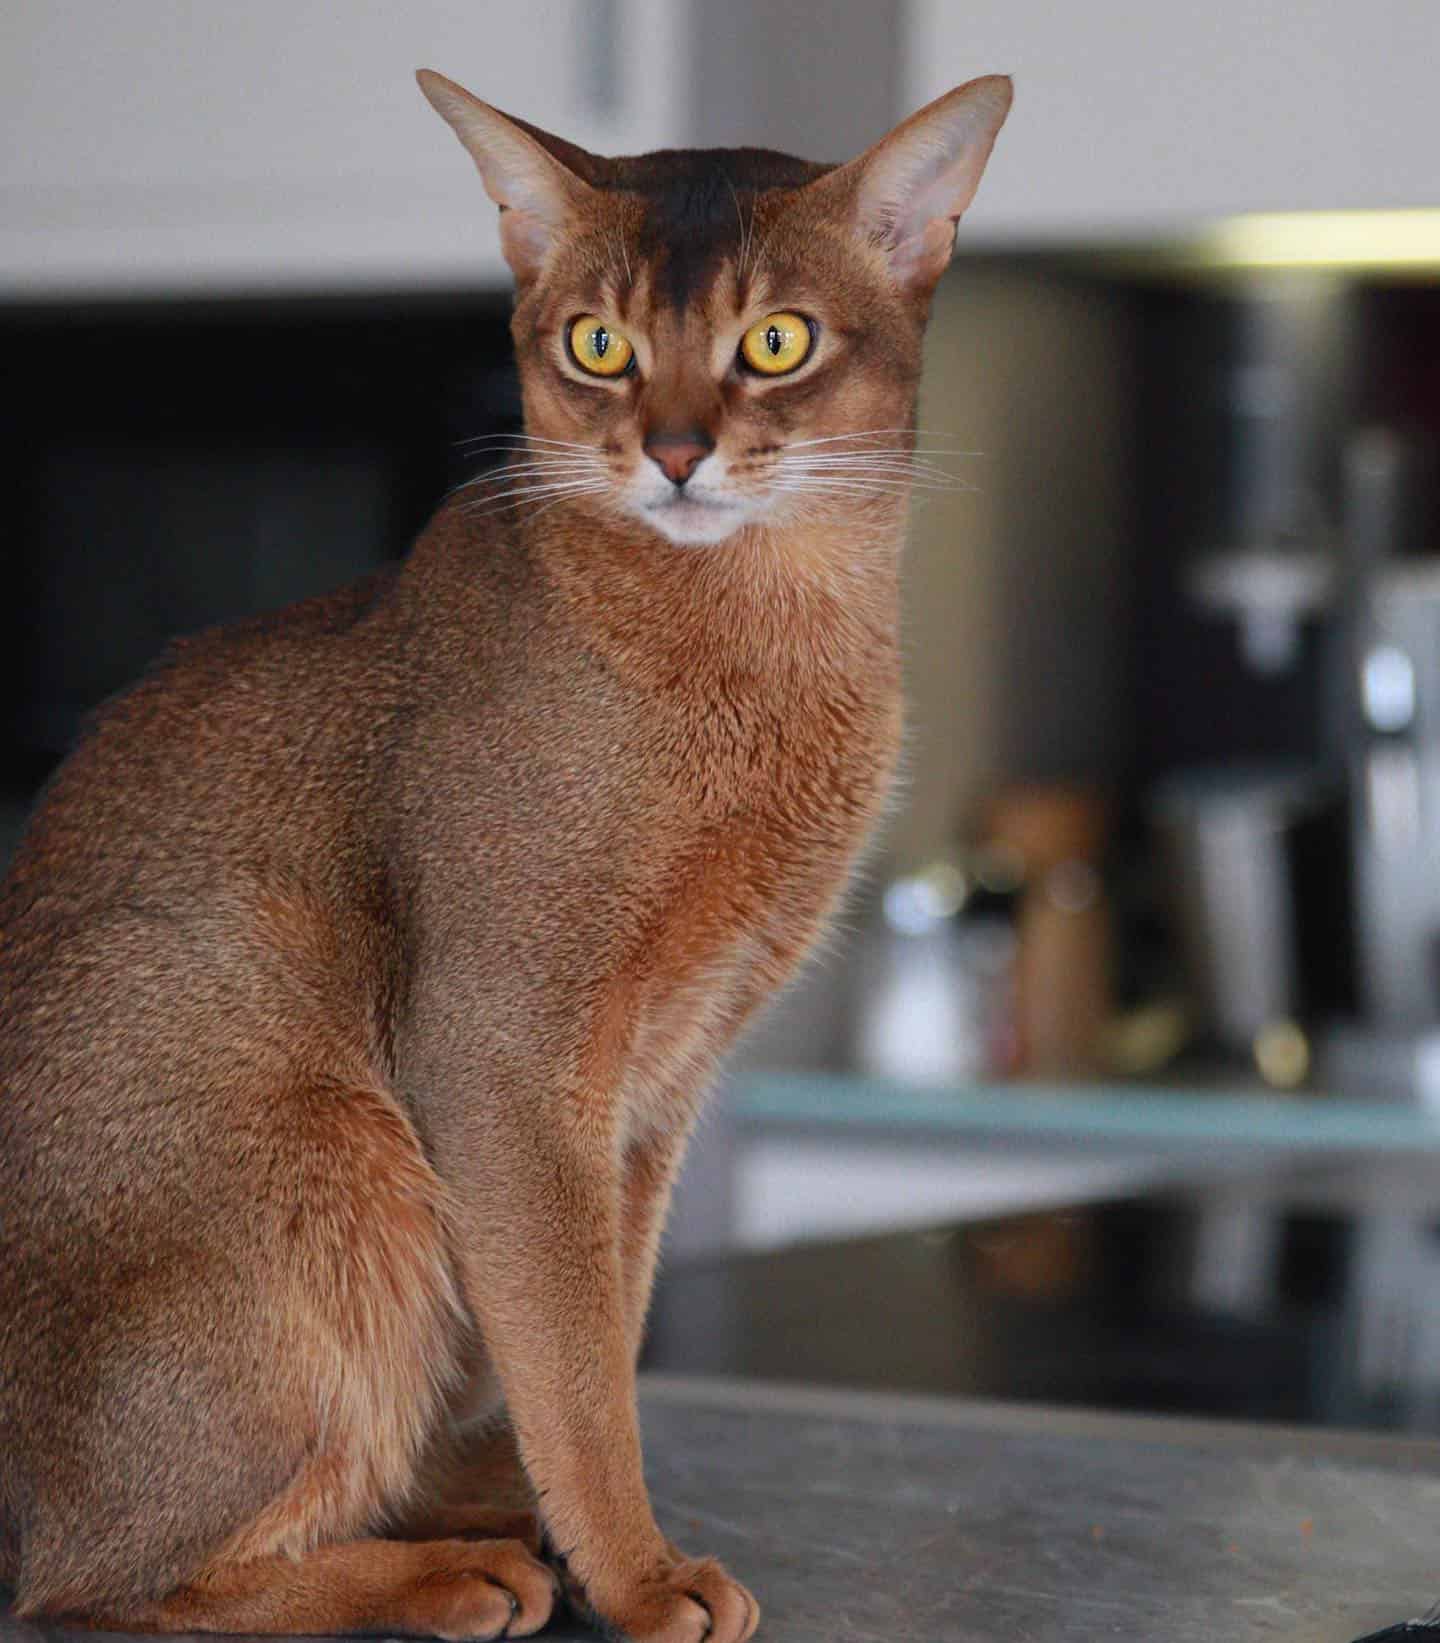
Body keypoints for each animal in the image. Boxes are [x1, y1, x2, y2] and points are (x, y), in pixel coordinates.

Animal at [0, 64, 1012, 1643]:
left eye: (774, 339)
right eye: (598, 344)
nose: (673, 449)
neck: (749, 646)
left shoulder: (659, 1086)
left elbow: (603, 1324)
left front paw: (597, 1535)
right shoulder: (503, 1051)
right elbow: (578, 1363)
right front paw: (640, 1573)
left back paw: (465, 1501)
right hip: (298, 1122)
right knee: (99, 1577)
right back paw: (441, 1568)